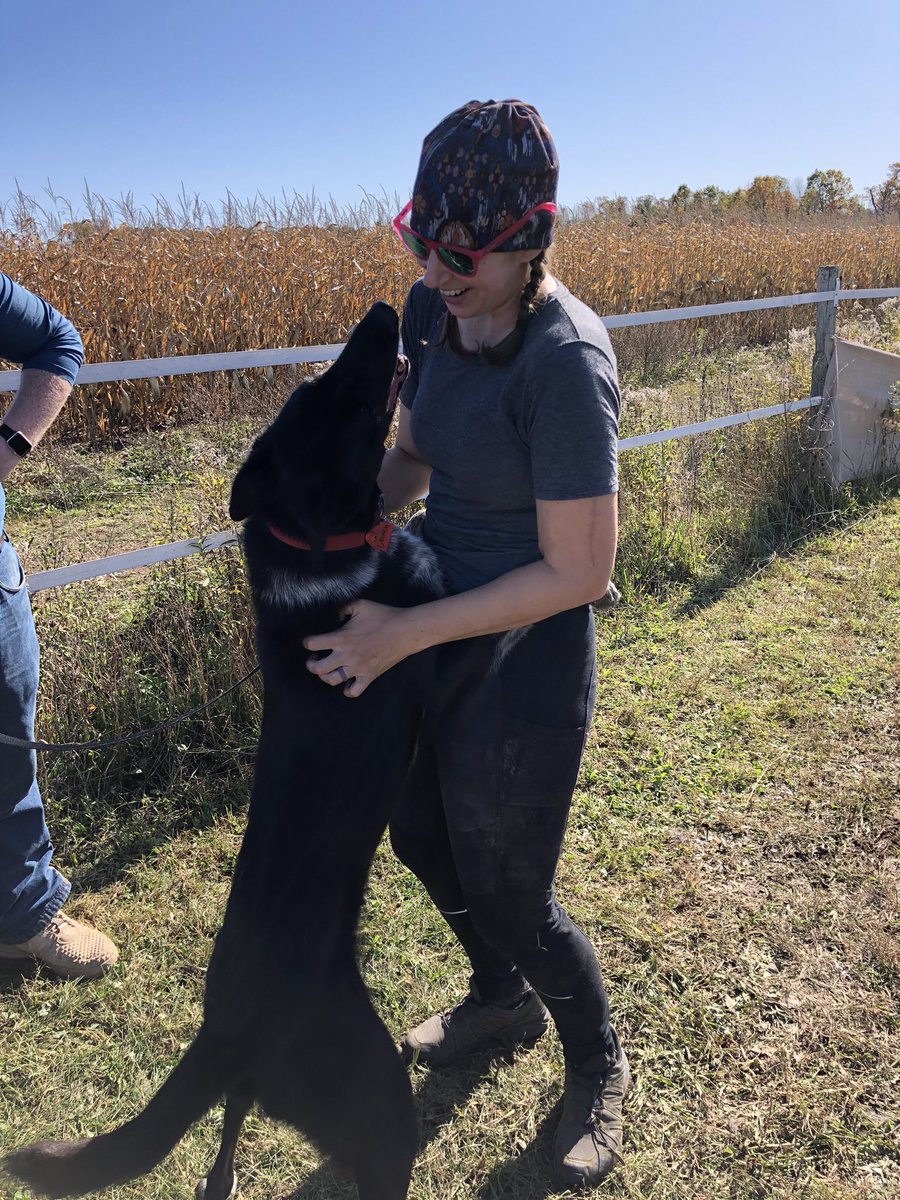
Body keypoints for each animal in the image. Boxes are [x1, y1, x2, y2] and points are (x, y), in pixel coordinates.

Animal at [3, 302, 504, 1200]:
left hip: (262, 1092)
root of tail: (221, 1036)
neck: (316, 543)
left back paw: (223, 1176)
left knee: (227, 1130)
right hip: (374, 1094)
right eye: (330, 398)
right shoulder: (442, 653)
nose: (384, 312)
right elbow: (476, 619)